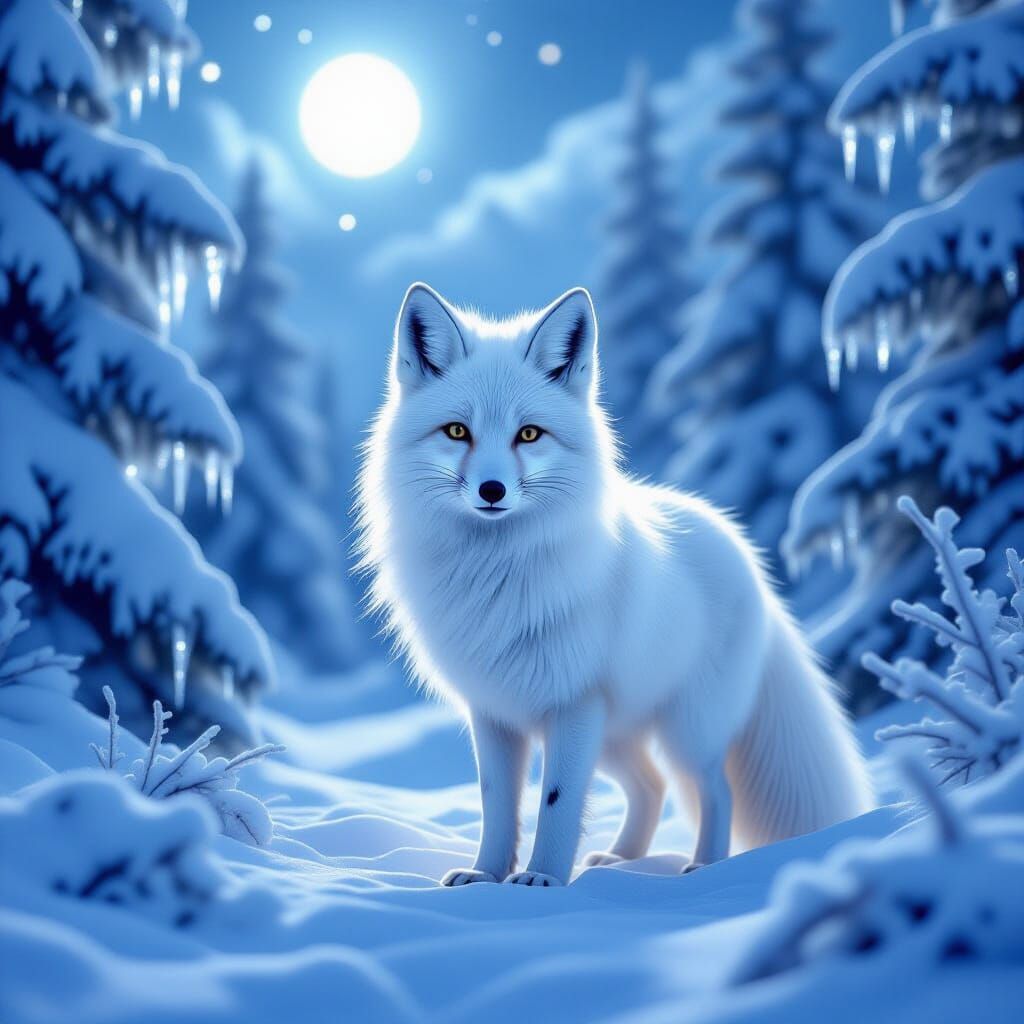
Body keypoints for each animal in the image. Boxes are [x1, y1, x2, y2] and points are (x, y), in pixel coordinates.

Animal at [356, 282, 874, 887]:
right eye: (458, 431)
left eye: (528, 434)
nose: (492, 490)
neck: (496, 576)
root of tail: (742, 550)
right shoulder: (494, 710)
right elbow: (497, 805)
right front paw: (485, 876)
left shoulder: (573, 703)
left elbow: (557, 802)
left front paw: (542, 881)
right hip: (617, 737)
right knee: (651, 785)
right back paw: (622, 859)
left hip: (685, 729)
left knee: (712, 788)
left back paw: (703, 866)